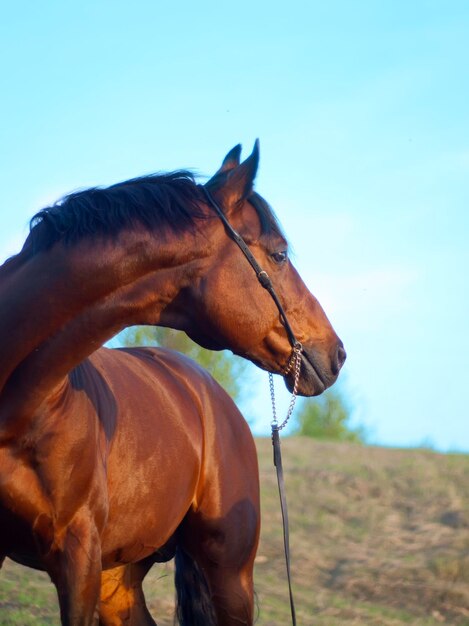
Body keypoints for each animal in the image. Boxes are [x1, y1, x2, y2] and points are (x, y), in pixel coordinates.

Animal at [0, 143, 344, 624]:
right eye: (279, 254)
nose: (337, 353)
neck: (21, 407)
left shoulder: (78, 561)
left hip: (229, 575)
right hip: (117, 575)